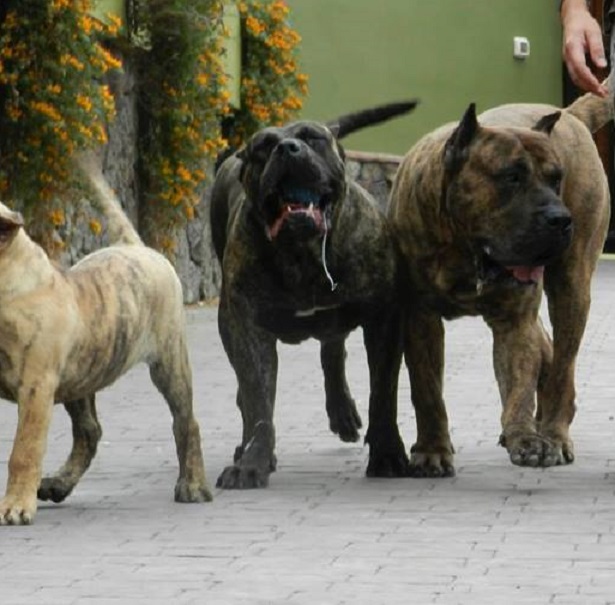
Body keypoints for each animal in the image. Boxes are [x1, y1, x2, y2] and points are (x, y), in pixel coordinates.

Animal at [0, 154, 211, 525]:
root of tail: (137, 247)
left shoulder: (36, 387)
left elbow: (23, 451)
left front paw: (14, 507)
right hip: (80, 376)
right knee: (89, 431)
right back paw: (58, 484)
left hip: (169, 363)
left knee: (186, 422)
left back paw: (193, 486)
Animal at [210, 101, 418, 488]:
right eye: (263, 147)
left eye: (312, 138)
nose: (287, 148)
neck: (302, 251)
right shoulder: (246, 327)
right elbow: (258, 402)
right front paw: (253, 463)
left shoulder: (383, 320)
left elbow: (382, 394)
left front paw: (387, 454)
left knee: (333, 351)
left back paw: (343, 413)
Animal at [387, 82, 613, 476]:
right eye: (512, 177)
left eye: (556, 179)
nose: (560, 219)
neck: (464, 248)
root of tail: (570, 114)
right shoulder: (420, 317)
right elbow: (427, 390)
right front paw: (432, 450)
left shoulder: (515, 322)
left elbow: (519, 385)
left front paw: (525, 438)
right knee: (549, 353)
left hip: (571, 288)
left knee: (562, 368)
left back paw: (553, 433)